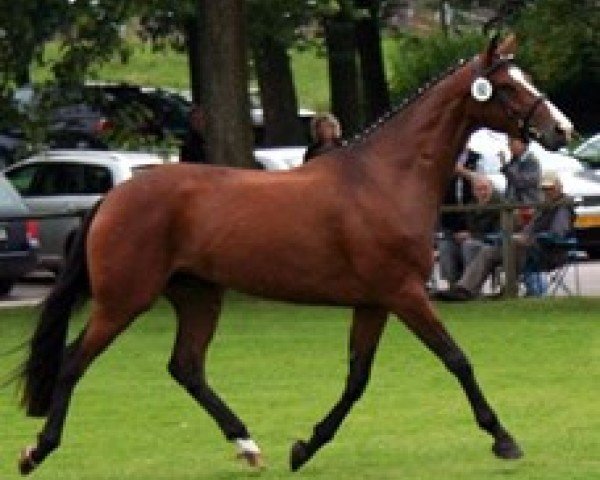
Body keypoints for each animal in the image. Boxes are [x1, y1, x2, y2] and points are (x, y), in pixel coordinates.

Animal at [17, 35, 572, 474]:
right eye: (508, 86)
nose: (561, 130)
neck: (385, 178)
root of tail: (113, 196)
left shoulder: (374, 302)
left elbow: (357, 379)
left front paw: (305, 447)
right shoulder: (405, 293)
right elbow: (456, 359)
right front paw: (504, 438)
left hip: (198, 295)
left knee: (186, 367)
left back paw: (248, 446)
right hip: (124, 300)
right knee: (74, 361)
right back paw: (36, 451)